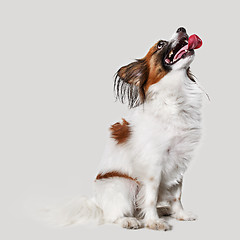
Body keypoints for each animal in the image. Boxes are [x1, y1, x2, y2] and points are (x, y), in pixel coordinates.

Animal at [54, 26, 204, 231]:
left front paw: (180, 215)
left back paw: (164, 210)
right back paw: (129, 220)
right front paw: (154, 222)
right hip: (124, 184)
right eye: (160, 45)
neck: (175, 96)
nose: (182, 28)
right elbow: (150, 198)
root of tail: (96, 203)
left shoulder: (178, 163)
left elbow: (176, 196)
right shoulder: (153, 166)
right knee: (113, 215)